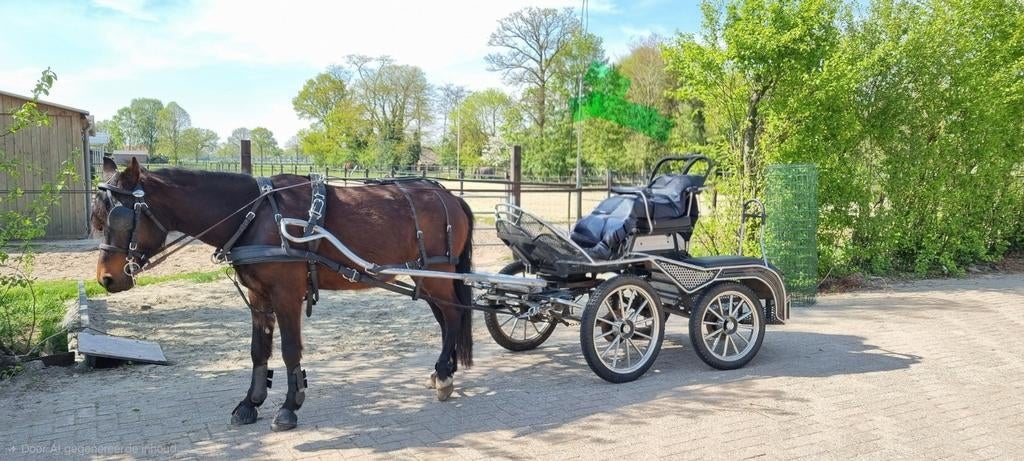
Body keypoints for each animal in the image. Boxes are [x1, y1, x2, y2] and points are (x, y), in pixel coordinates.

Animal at [91, 157, 475, 431]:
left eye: (121, 217)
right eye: (98, 219)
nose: (106, 279)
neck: (255, 214)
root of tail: (451, 196)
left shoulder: (287, 294)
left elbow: (290, 350)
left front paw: (290, 406)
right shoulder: (259, 297)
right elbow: (258, 350)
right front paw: (251, 402)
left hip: (438, 274)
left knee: (454, 315)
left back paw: (444, 374)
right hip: (427, 278)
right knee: (446, 320)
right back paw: (445, 369)